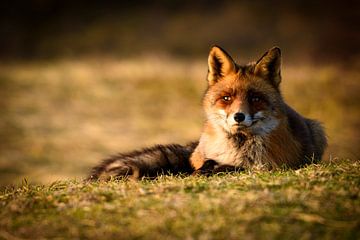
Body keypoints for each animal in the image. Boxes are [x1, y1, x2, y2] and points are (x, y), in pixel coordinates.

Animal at [88, 45, 328, 180]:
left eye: (255, 98)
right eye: (227, 98)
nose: (239, 116)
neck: (237, 147)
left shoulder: (270, 166)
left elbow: (234, 168)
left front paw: (217, 169)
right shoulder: (198, 159)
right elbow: (201, 166)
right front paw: (203, 170)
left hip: (319, 130)